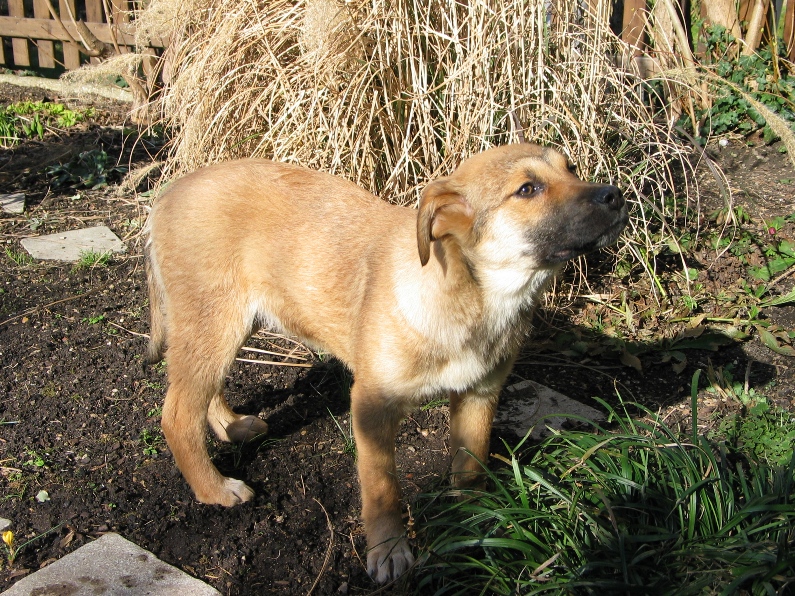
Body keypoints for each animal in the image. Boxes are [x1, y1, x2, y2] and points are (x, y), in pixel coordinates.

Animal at [145, 143, 628, 584]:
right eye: (527, 189)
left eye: (571, 169)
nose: (616, 195)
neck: (470, 297)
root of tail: (168, 192)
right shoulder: (371, 406)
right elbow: (382, 488)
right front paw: (389, 549)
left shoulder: (479, 394)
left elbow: (470, 465)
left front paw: (475, 521)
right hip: (215, 319)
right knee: (177, 414)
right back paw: (214, 490)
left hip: (223, 326)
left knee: (201, 392)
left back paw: (230, 425)